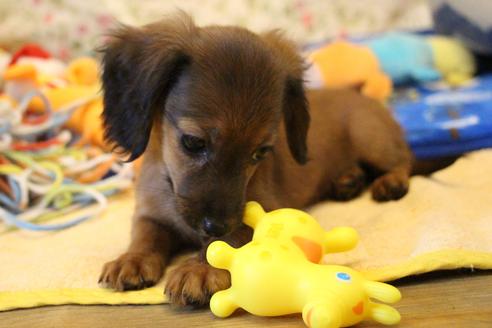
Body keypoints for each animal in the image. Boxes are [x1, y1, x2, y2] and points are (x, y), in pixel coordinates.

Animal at [97, 12, 412, 308]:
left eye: (260, 153)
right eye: (193, 142)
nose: (215, 226)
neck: (170, 184)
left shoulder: (263, 209)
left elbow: (230, 238)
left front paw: (200, 268)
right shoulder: (150, 215)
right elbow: (145, 236)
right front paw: (132, 259)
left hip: (370, 137)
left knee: (404, 161)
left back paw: (390, 182)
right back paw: (348, 181)